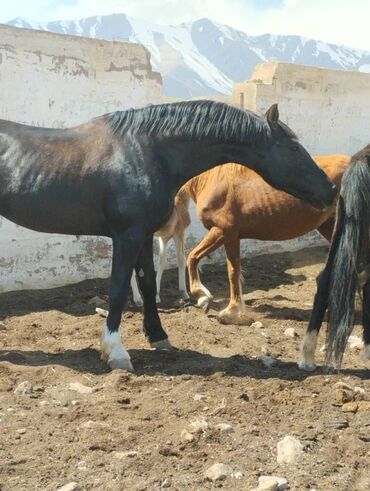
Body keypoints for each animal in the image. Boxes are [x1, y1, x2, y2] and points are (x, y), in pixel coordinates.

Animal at [184, 156, 352, 326]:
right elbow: (233, 271)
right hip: (329, 225)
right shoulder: (232, 237)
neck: (209, 178)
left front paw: (203, 296)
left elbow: (192, 257)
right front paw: (233, 312)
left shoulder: (222, 231)